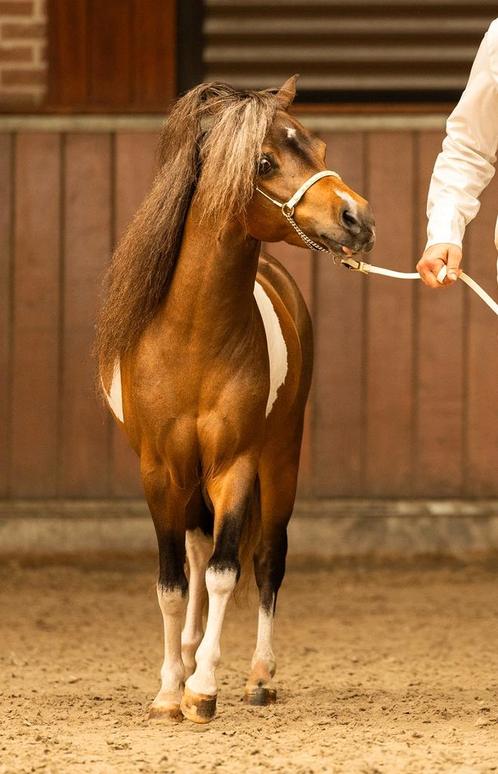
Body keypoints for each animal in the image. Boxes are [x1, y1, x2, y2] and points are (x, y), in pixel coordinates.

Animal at [96, 76, 374, 724]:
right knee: (196, 552)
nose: (357, 218)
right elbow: (173, 582)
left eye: (320, 148)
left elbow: (227, 572)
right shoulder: (159, 471)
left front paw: (202, 689)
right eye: (265, 162)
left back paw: (257, 676)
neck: (193, 336)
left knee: (267, 557)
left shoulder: (237, 465)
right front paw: (170, 688)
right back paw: (190, 651)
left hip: (281, 457)